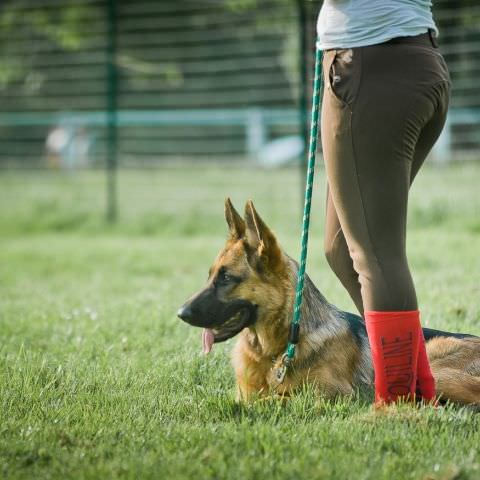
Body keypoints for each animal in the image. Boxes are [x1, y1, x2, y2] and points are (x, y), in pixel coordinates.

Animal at [177, 199, 480, 404]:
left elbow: (277, 398)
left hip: (437, 369)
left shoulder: (330, 396)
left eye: (227, 278)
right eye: (210, 276)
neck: (278, 348)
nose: (180, 313)